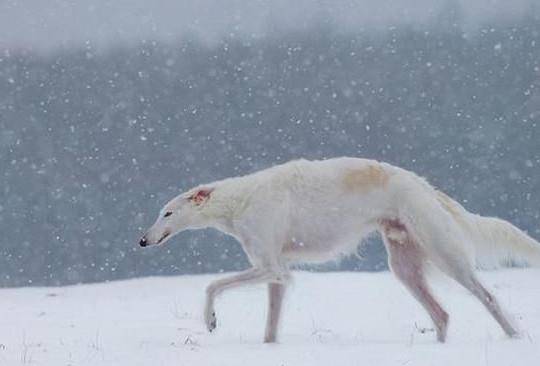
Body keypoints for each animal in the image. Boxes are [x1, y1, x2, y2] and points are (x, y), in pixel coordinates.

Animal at [140, 157, 540, 344]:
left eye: (167, 213)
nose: (142, 241)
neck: (240, 201)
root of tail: (425, 186)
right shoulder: (277, 273)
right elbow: (270, 325)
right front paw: (267, 348)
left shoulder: (272, 267)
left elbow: (212, 285)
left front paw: (210, 321)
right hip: (405, 265)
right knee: (441, 314)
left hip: (445, 253)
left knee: (487, 298)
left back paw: (513, 336)